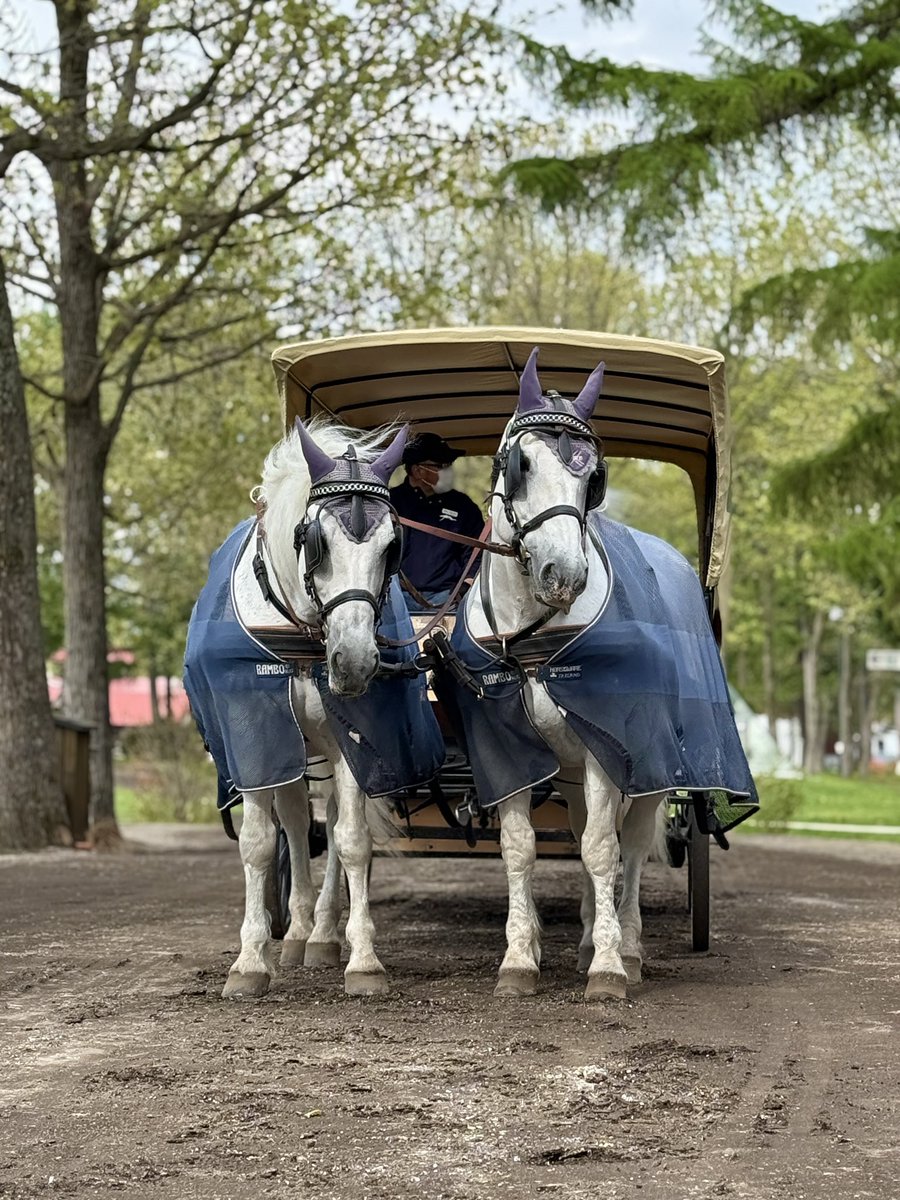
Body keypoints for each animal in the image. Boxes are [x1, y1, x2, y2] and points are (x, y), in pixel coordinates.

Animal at [184, 417, 443, 999]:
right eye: (316, 541)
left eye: (392, 546)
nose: (355, 661)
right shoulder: (255, 735)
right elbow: (260, 843)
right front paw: (250, 961)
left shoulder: (354, 737)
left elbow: (351, 840)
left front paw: (364, 959)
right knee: (298, 823)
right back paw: (298, 930)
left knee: (328, 819)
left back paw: (322, 932)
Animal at [446, 348, 755, 1000]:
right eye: (521, 463)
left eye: (593, 477)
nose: (564, 573)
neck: (532, 635)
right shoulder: (506, 748)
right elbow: (521, 848)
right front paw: (520, 959)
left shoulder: (610, 744)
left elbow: (600, 850)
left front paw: (610, 966)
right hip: (571, 766)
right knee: (590, 829)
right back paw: (591, 931)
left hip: (649, 762)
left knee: (627, 846)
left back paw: (626, 943)